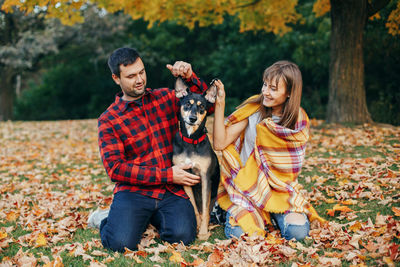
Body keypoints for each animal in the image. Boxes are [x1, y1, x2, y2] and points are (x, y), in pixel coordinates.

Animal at [172, 77, 220, 241]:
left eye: (202, 107)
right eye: (187, 104)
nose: (192, 119)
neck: (191, 140)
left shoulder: (205, 177)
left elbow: (204, 209)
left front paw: (204, 232)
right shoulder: (184, 177)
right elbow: (194, 207)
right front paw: (198, 226)